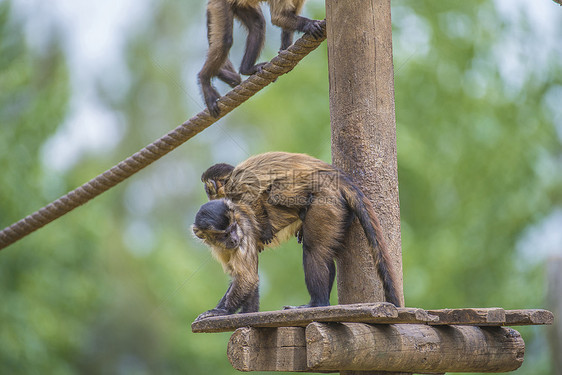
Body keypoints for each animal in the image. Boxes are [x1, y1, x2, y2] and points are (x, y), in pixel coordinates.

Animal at [191, 152, 398, 320]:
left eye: (231, 230)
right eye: (225, 235)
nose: (234, 239)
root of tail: (334, 176)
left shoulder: (242, 211)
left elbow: (248, 277)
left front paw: (223, 311)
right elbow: (244, 277)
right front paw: (245, 313)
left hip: (326, 201)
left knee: (313, 249)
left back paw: (318, 303)